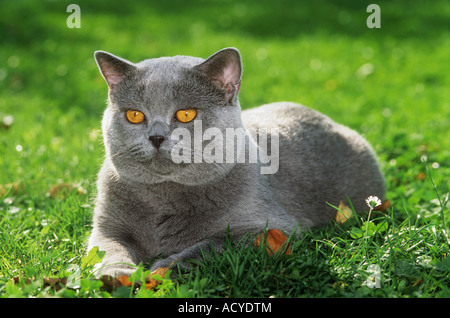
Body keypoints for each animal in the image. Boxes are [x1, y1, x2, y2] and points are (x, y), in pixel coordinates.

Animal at [87, 47, 384, 276]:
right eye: (135, 115)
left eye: (185, 114)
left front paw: (161, 269)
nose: (156, 137)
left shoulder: (268, 230)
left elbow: (209, 246)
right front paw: (115, 275)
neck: (164, 196)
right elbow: (108, 250)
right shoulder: (107, 228)